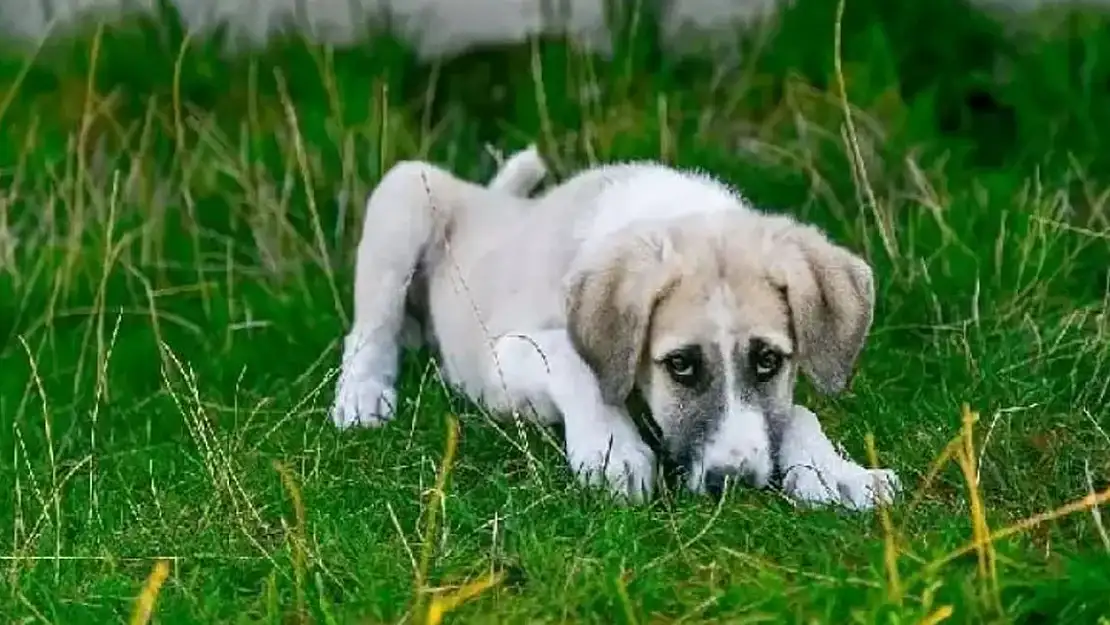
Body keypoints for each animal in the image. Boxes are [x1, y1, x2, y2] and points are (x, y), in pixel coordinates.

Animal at [330, 146, 901, 508]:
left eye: (768, 361)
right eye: (680, 365)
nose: (734, 483)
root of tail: (490, 198)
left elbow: (797, 412)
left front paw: (837, 472)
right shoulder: (503, 358)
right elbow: (573, 361)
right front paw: (612, 451)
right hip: (405, 194)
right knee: (369, 330)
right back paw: (362, 396)